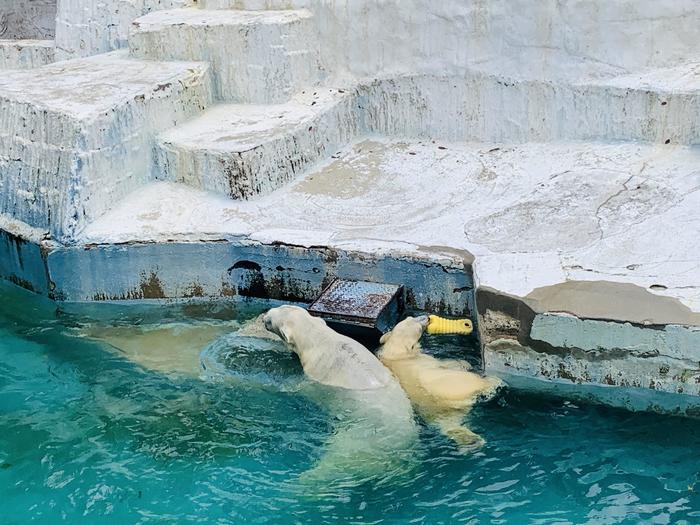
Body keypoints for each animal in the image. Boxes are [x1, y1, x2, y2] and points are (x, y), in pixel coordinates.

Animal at [262, 304, 416, 482]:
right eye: (280, 307)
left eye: (270, 321)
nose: (264, 315)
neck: (321, 339)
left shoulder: (315, 373)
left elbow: (300, 386)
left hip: (353, 443)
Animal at [378, 316, 504, 450]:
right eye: (418, 328)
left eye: (410, 318)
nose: (426, 317)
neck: (397, 355)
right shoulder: (423, 360)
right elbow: (443, 364)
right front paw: (464, 363)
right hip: (458, 385)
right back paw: (494, 381)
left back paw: (471, 441)